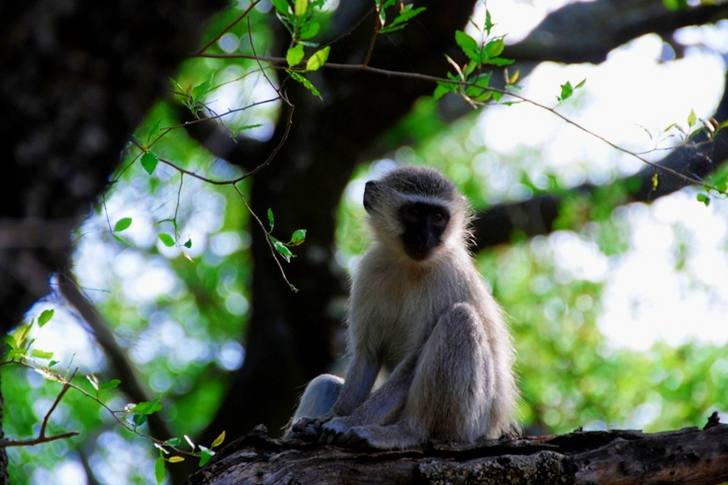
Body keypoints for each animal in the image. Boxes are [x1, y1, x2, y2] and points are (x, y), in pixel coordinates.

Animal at [287, 165, 518, 450]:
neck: (406, 266)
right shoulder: (369, 272)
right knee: (325, 382)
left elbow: (414, 358)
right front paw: (330, 417)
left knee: (460, 318)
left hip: (472, 422)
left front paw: (348, 422)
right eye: (415, 213)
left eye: (438, 217)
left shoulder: (447, 273)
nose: (425, 237)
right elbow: (367, 354)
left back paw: (408, 431)